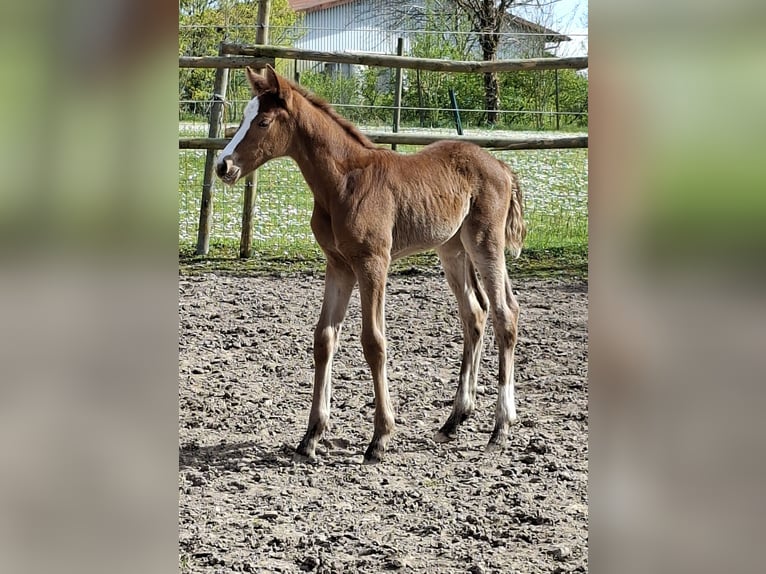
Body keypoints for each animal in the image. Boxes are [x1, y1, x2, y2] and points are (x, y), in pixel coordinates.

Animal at [216, 65, 526, 464]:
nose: (223, 165)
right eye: (243, 117)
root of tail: (502, 165)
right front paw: (311, 436)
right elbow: (324, 338)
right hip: (452, 249)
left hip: (485, 243)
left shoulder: (372, 263)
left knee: (505, 314)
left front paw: (380, 437)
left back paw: (500, 428)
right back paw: (454, 420)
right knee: (475, 313)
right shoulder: (338, 265)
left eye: (264, 121)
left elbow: (374, 342)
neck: (342, 182)